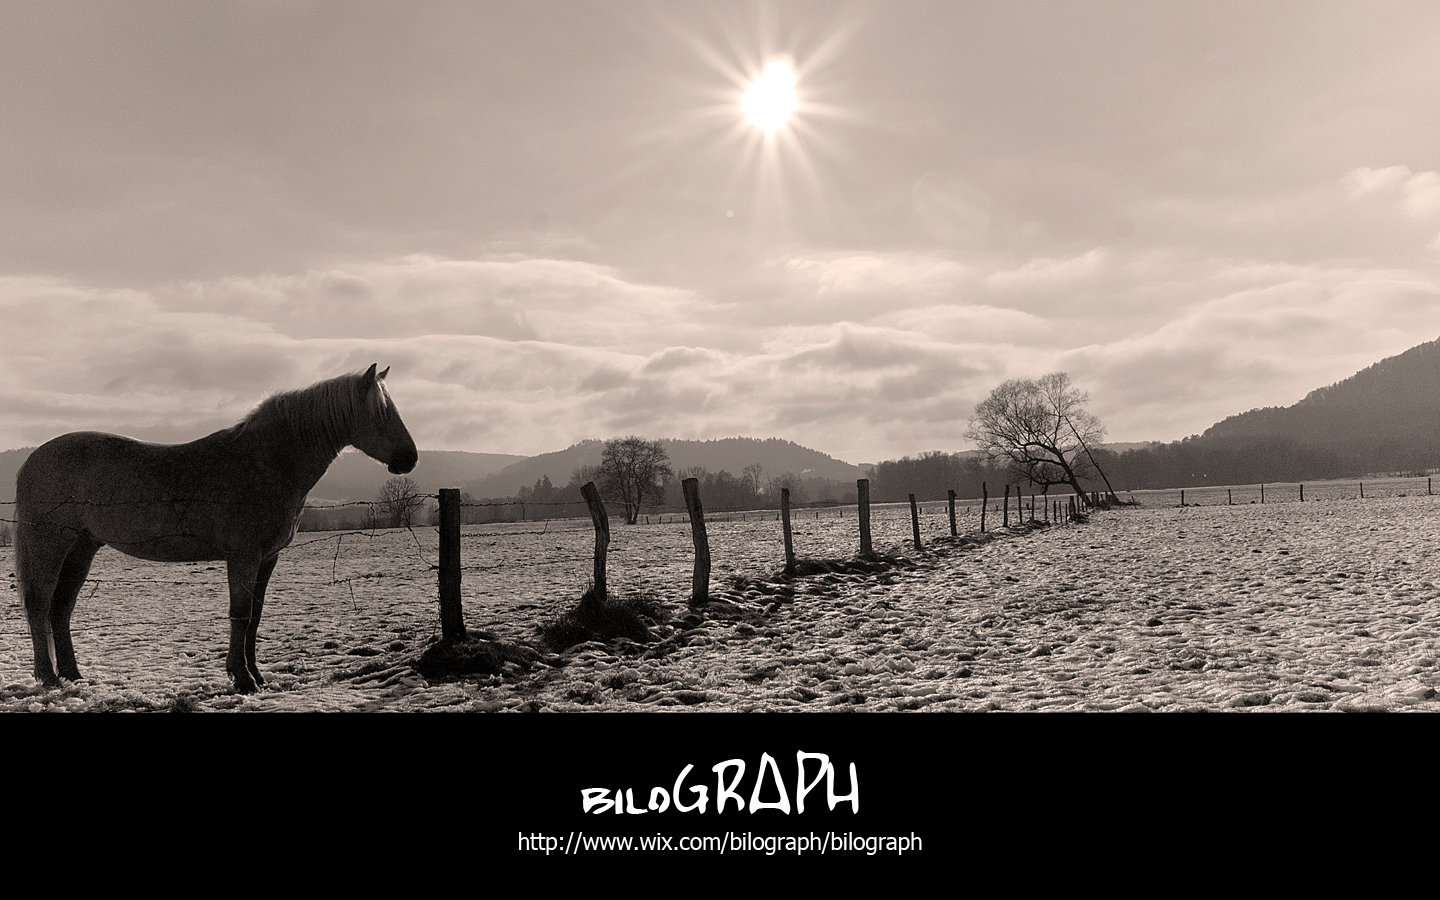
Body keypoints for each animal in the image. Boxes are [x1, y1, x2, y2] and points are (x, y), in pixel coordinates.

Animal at [14, 361, 420, 691]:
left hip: (81, 548)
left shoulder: (267, 558)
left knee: (61, 608)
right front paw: (241, 679)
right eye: (382, 412)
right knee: (39, 603)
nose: (410, 459)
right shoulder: (243, 556)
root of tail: (32, 460)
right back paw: (48, 677)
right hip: (50, 544)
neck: (266, 462)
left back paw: (72, 675)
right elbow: (240, 614)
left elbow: (255, 617)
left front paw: (257, 676)